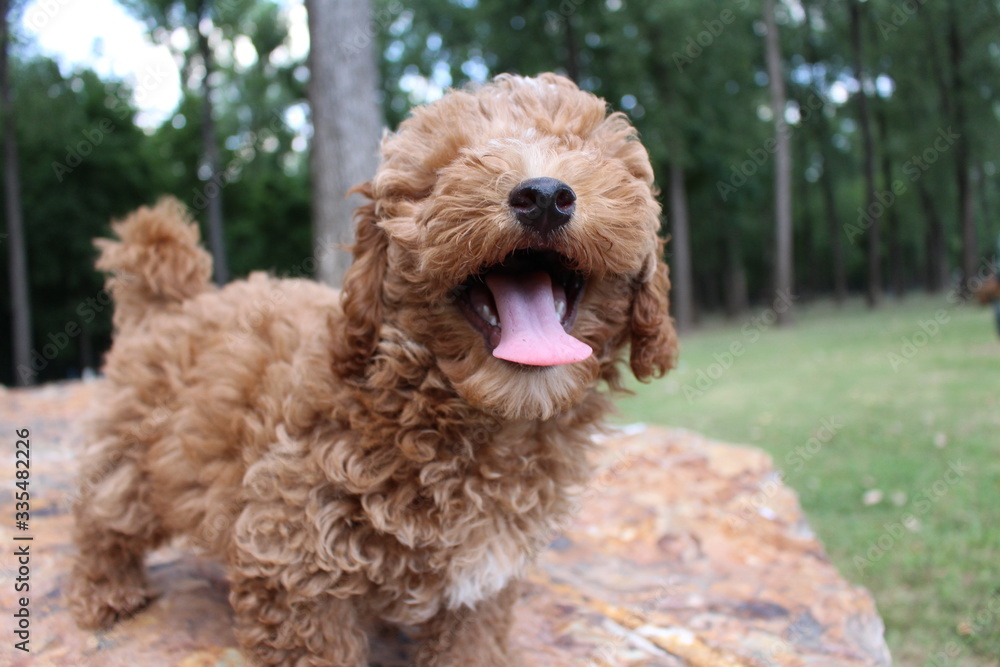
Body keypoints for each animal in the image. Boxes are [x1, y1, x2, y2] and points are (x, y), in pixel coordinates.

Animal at [68, 74, 680, 667]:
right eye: (447, 169)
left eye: (585, 152)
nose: (546, 196)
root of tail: (174, 299)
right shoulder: (292, 555)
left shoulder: (481, 582)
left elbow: (471, 645)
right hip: (134, 445)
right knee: (104, 514)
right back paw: (108, 593)